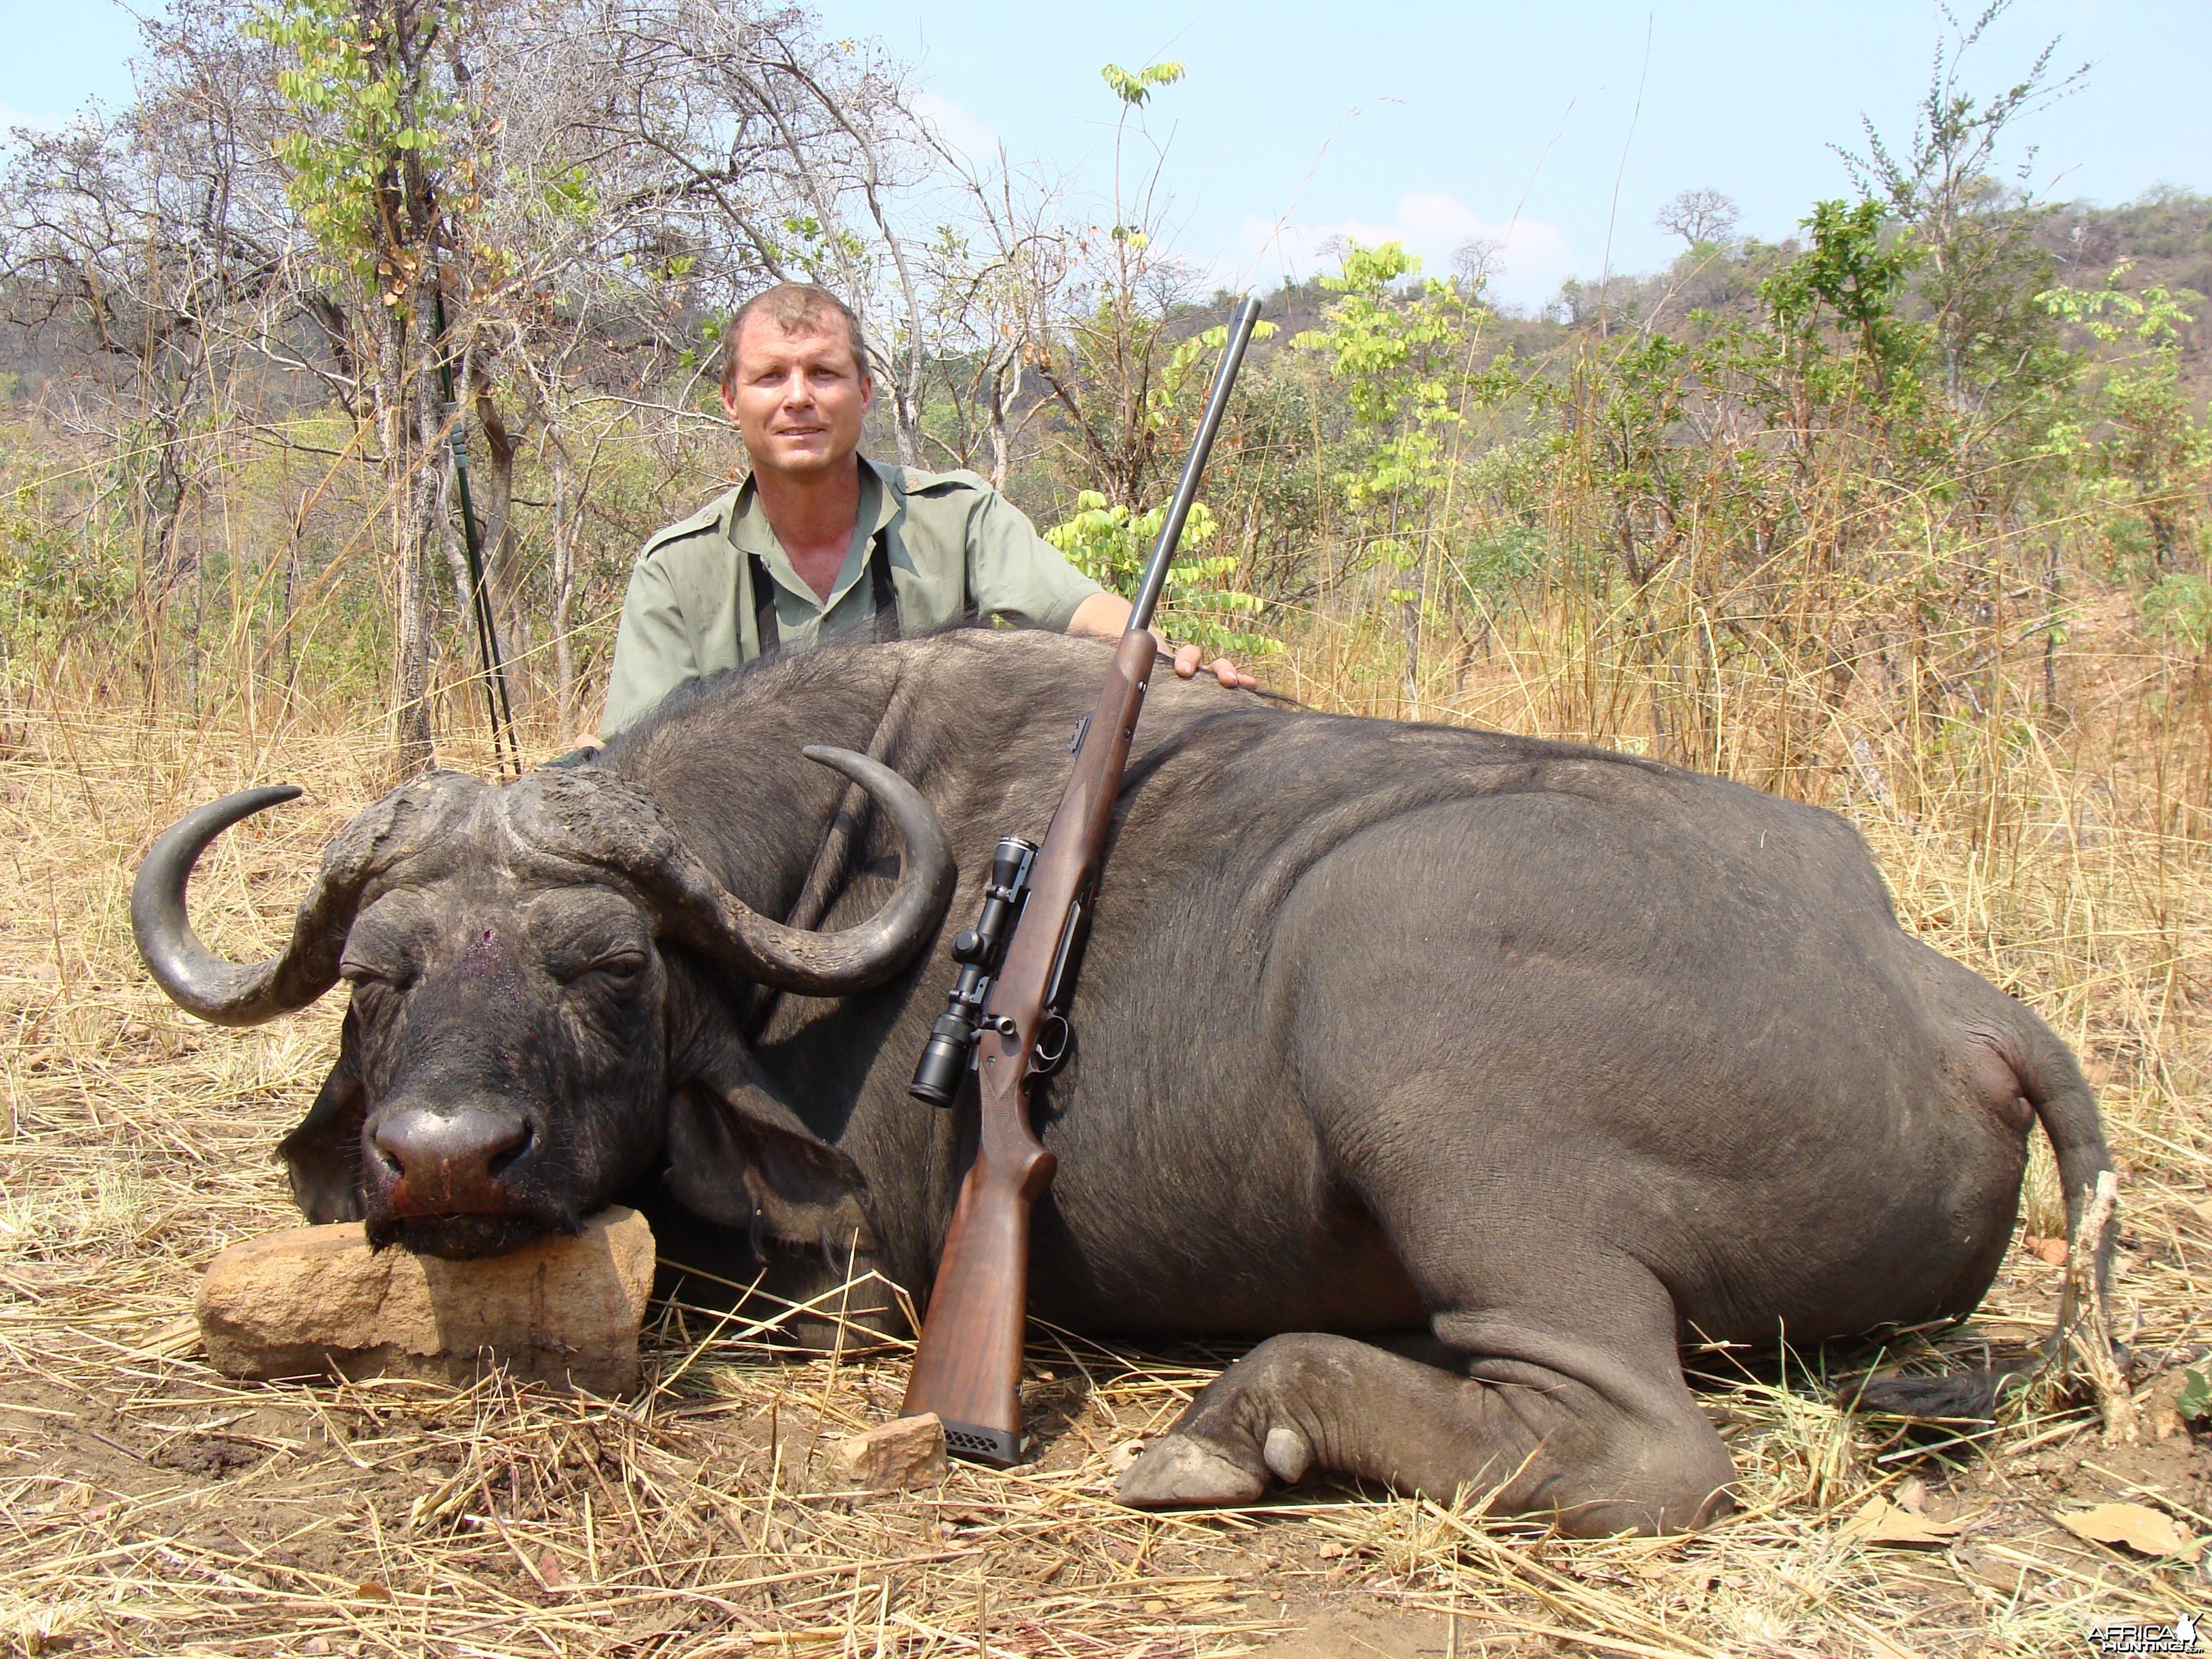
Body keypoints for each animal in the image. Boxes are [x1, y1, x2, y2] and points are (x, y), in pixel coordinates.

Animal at [134, 628, 2106, 1539]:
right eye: (376, 982)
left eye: (603, 968)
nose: (448, 1158)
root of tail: (1936, 986)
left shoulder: (839, 1290)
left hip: (1400, 996)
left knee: (1641, 1440)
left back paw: (1239, 1423)